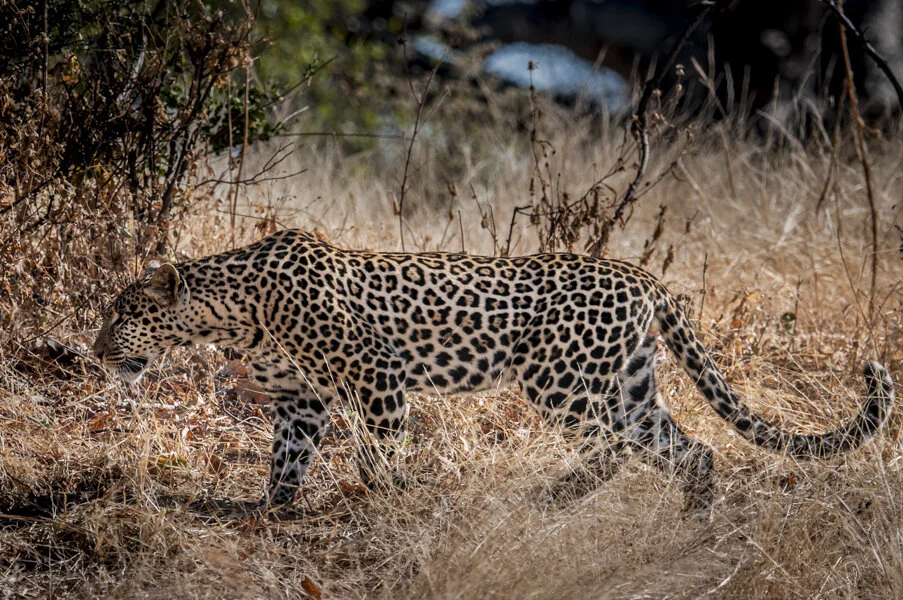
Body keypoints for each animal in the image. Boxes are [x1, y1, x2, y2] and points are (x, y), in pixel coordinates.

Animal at [93, 230, 895, 513]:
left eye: (122, 313)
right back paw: (691, 525)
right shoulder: (300, 401)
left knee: (609, 446)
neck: (234, 312)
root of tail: (641, 274)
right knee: (688, 450)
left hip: (560, 380)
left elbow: (380, 451)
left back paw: (551, 498)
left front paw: (391, 503)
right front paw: (271, 509)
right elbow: (287, 458)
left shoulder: (375, 376)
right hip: (630, 385)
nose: (96, 350)